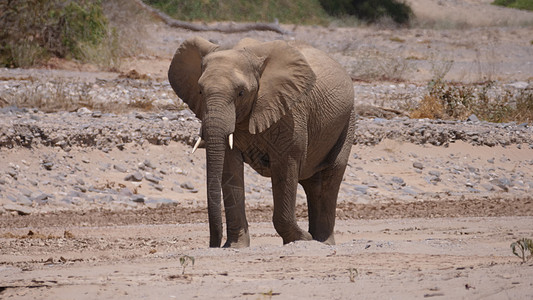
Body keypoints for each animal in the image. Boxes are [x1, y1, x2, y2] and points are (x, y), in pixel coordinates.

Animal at [168, 37, 356, 248]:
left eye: (241, 93)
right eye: (200, 91)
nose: (214, 244)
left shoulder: (290, 113)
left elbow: (285, 166)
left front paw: (301, 239)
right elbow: (230, 168)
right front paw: (235, 246)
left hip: (348, 120)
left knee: (331, 176)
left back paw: (323, 242)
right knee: (313, 184)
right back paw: (318, 239)